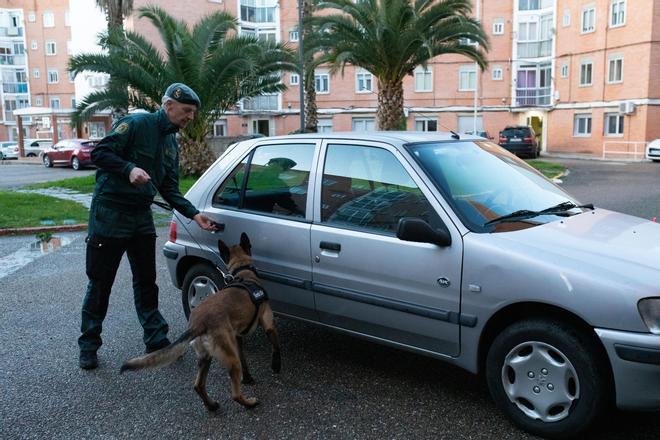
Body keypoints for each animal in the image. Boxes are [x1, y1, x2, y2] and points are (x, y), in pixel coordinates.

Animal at [120, 232, 280, 410]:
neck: (244, 273)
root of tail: (198, 323)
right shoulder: (268, 323)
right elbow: (276, 346)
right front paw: (276, 366)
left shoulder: (237, 339)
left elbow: (245, 361)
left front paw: (248, 378)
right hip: (230, 359)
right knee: (234, 394)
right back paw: (249, 403)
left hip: (207, 356)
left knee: (198, 385)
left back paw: (211, 405)